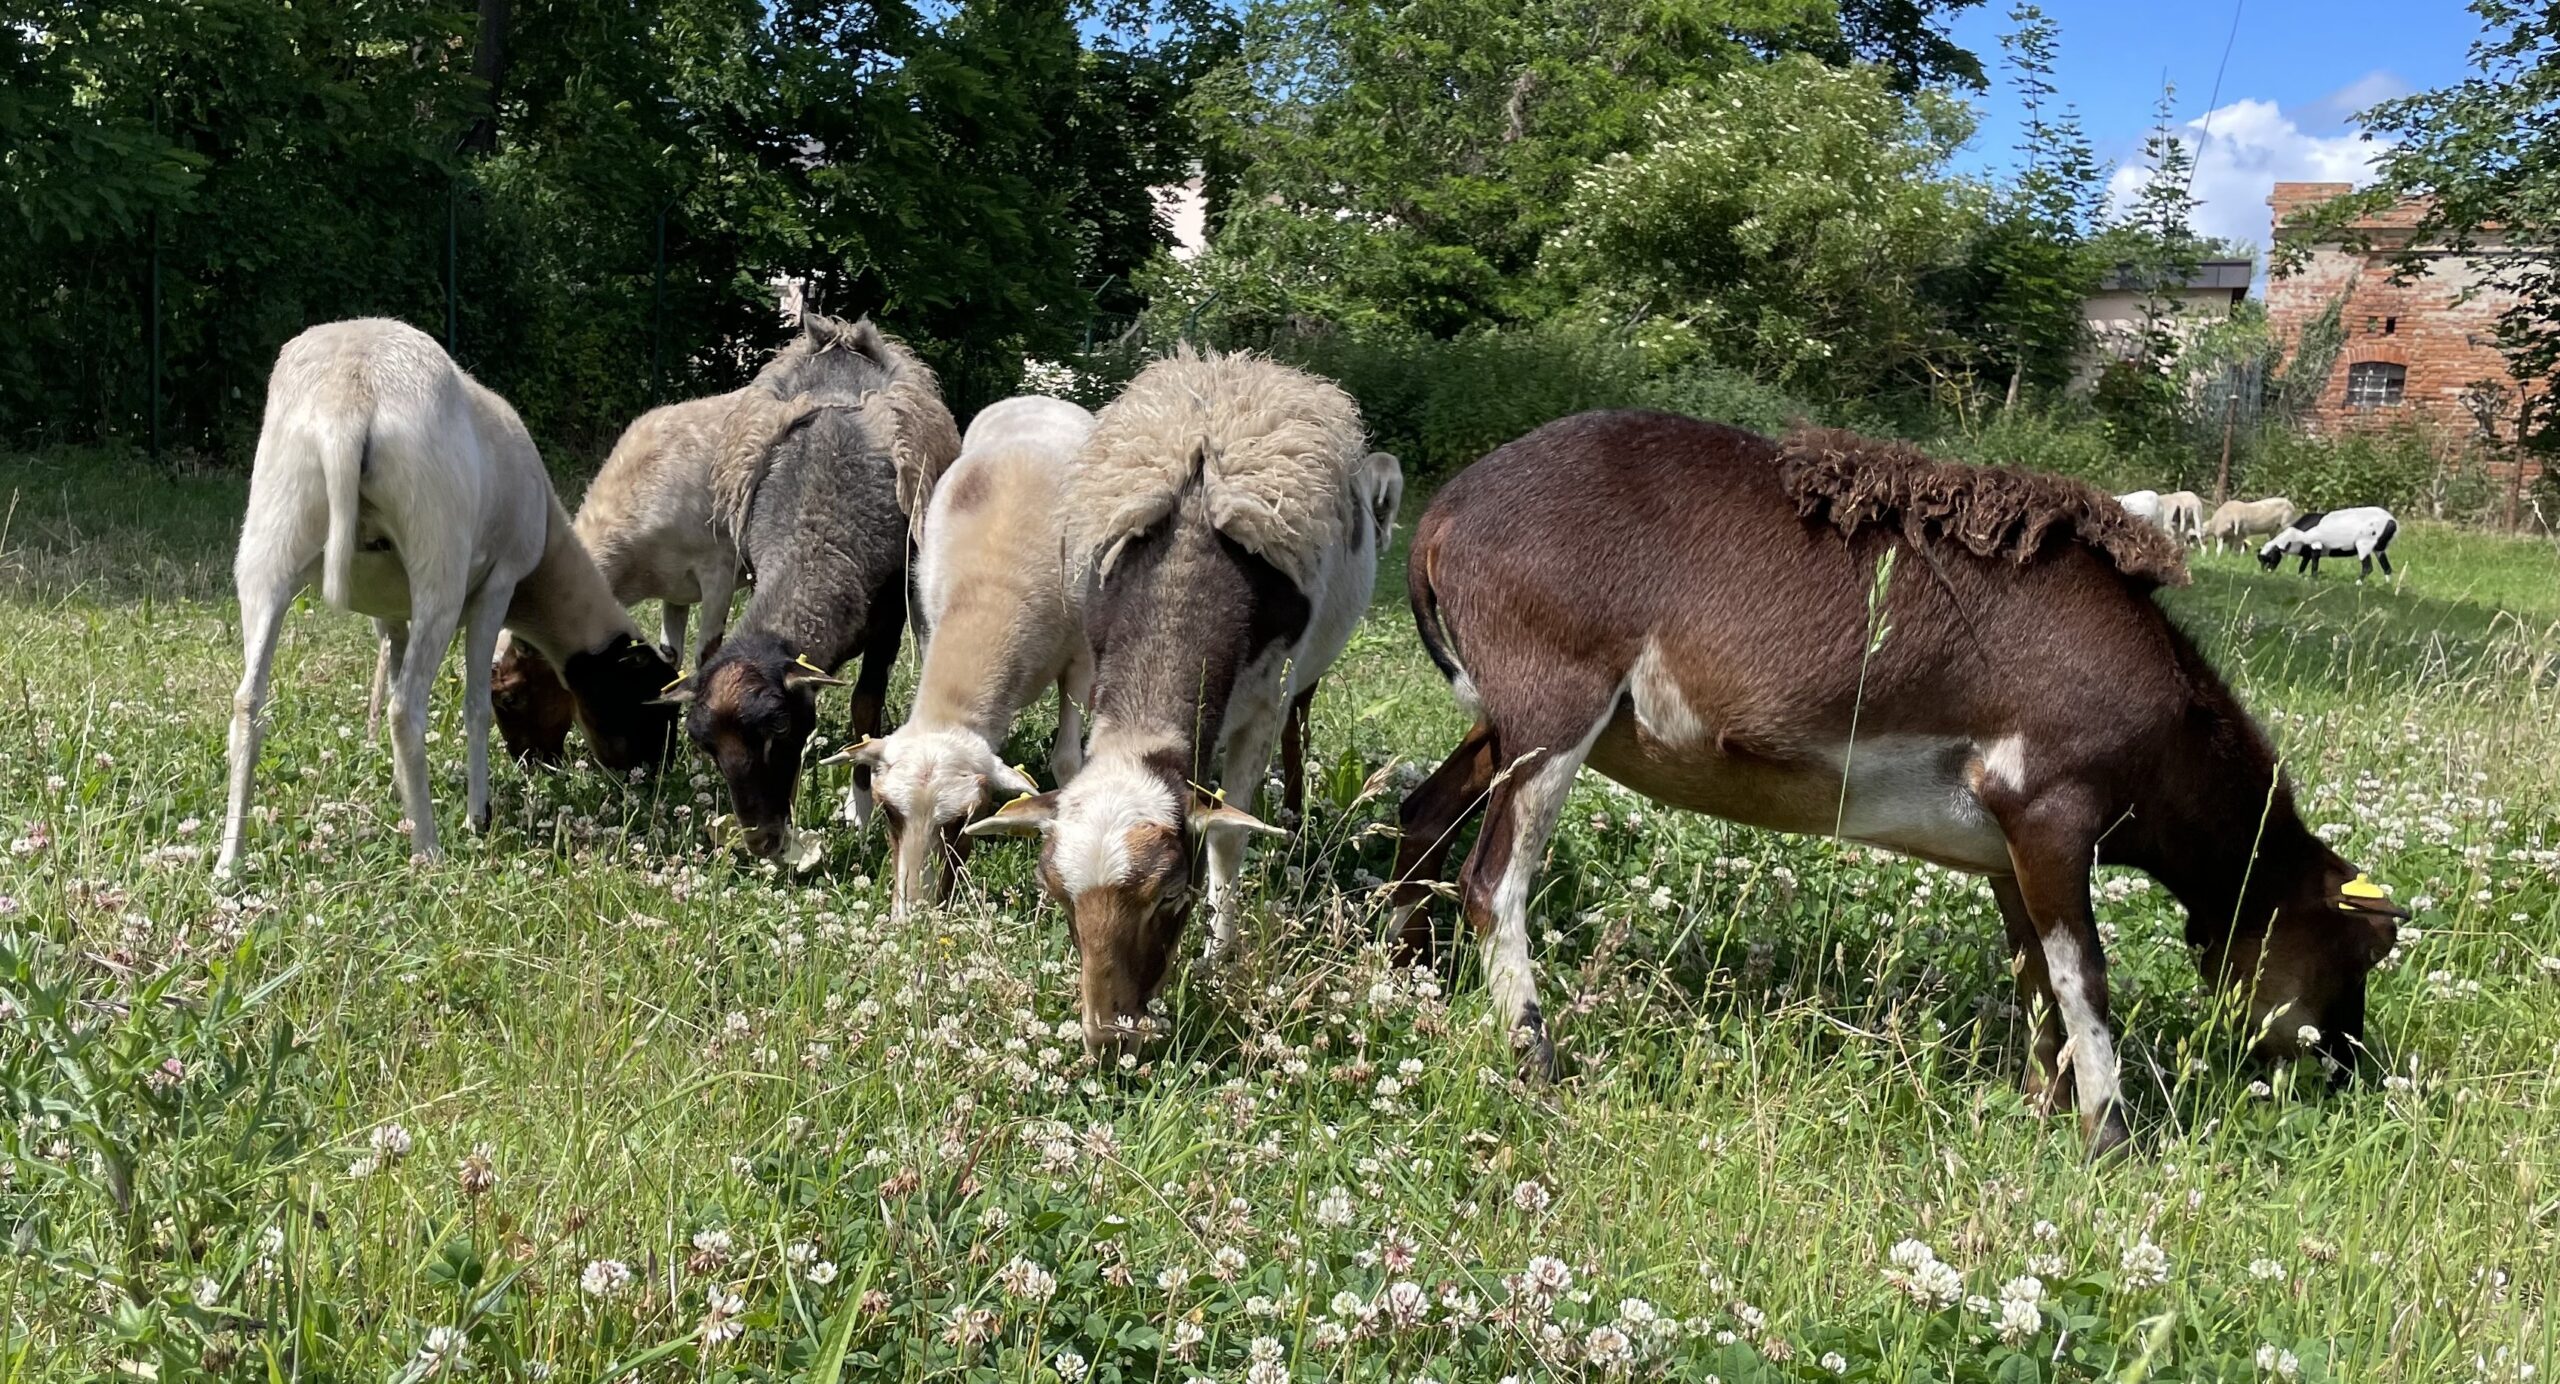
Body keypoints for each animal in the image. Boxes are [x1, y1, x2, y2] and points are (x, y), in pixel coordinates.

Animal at [219, 319, 680, 875]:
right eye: (642, 702)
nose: (650, 776)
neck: (546, 566)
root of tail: (349, 395)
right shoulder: (499, 583)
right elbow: (475, 705)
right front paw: (476, 816)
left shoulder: (391, 614)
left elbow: (395, 671)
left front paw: (405, 797)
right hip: (438, 562)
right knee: (405, 709)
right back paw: (430, 852)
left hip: (267, 544)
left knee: (249, 703)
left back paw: (228, 862)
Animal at [663, 313, 961, 859]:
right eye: (703, 744)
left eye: (777, 728)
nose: (761, 841)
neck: (816, 533)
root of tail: (839, 334)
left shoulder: (887, 619)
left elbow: (864, 709)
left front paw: (861, 814)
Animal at [823, 396, 1099, 917]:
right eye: (889, 812)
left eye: (963, 820)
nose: (911, 918)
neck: (991, 591)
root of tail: (1039, 398)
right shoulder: (931, 622)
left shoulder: (1080, 661)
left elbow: (1067, 764)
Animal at [966, 348, 1387, 1056]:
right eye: (1055, 894)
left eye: (1169, 896)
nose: (1110, 1042)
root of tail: (1237, 363)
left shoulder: (1261, 707)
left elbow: (1229, 835)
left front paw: (1220, 953)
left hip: (1307, 675)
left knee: (1300, 726)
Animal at [2260, 506, 2400, 579]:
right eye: (2260, 560)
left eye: (2272, 557)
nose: (2265, 574)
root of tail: (2392, 521)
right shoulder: (2307, 552)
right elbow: (2302, 566)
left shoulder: (2316, 544)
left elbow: (2314, 564)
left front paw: (2313, 579)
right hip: (2379, 548)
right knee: (2387, 568)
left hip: (2364, 544)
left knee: (2367, 568)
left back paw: (2358, 584)